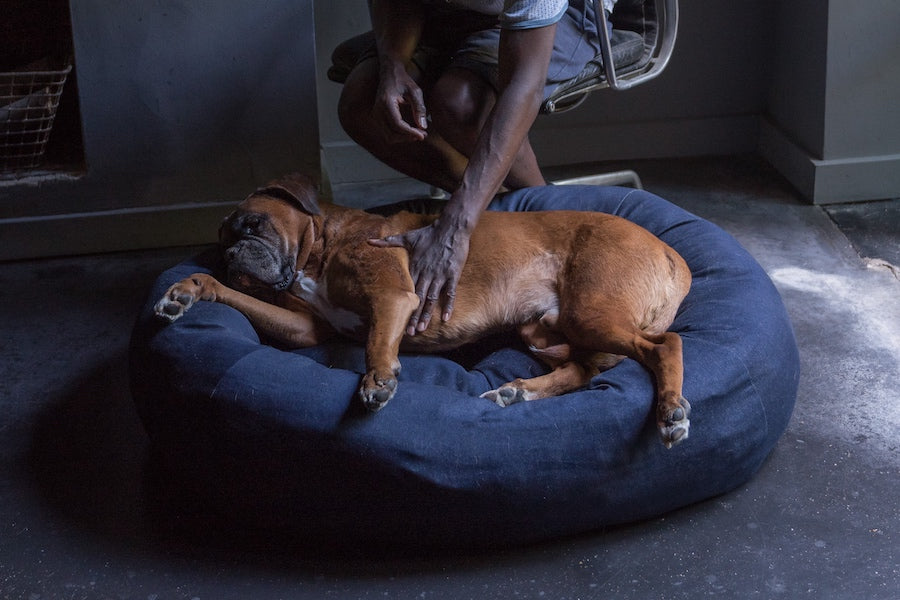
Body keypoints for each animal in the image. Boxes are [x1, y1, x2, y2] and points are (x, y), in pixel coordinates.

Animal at [155, 173, 692, 446]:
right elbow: (232, 296)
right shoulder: (304, 328)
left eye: (252, 225)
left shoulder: (393, 298)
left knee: (664, 345)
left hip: (591, 314)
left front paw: (377, 381)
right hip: (545, 332)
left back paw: (670, 412)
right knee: (584, 370)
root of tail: (673, 254)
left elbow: (376, 341)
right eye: (220, 241)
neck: (319, 249)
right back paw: (516, 392)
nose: (230, 256)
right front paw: (189, 289)